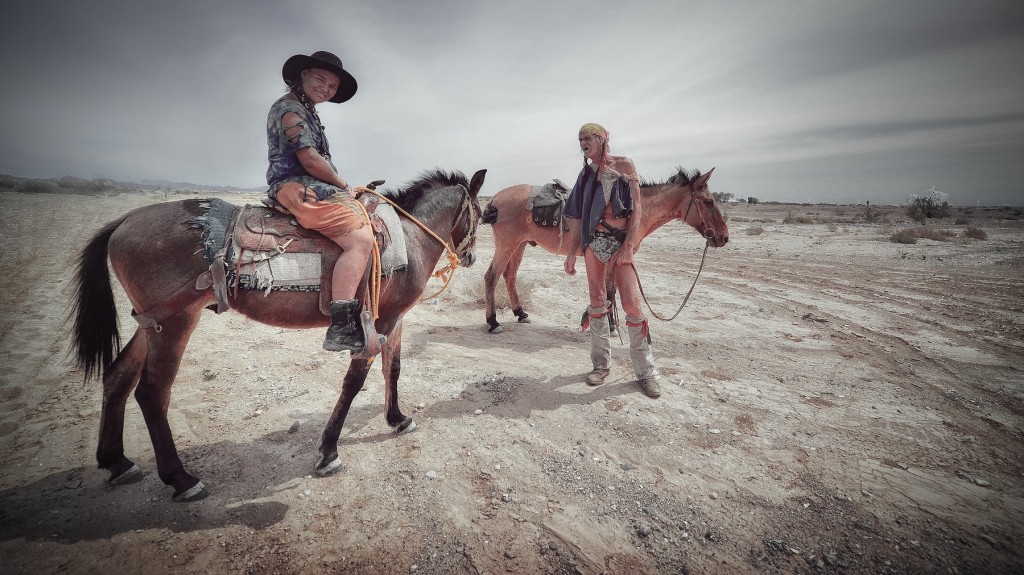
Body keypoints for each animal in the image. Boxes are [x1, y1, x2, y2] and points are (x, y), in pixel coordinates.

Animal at [73, 167, 487, 499]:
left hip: (153, 322)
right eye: (481, 214)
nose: (470, 257)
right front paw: (328, 452)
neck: (408, 237)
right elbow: (355, 381)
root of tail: (124, 220)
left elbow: (393, 368)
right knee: (151, 392)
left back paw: (117, 462)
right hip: (176, 324)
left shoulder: (394, 318)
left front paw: (398, 419)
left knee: (118, 375)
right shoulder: (379, 323)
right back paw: (181, 479)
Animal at [479, 166, 729, 331]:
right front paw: (611, 326)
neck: (631, 213)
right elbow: (609, 292)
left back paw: (520, 313)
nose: (724, 237)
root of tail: (496, 198)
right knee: (491, 276)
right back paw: (493, 322)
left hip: (519, 245)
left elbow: (610, 291)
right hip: (507, 244)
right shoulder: (612, 257)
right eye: (708, 201)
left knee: (509, 276)